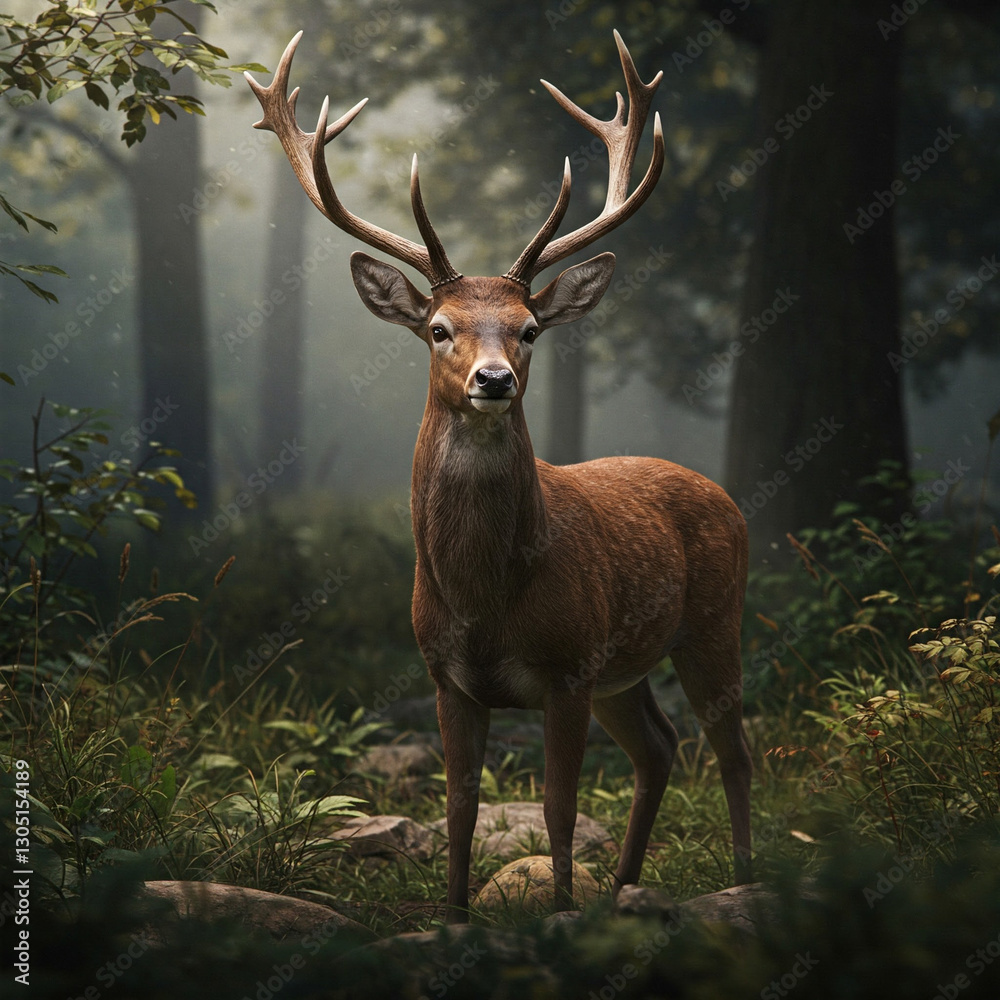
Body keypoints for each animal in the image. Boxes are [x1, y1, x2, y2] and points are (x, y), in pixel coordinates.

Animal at [246, 30, 752, 922]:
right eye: (439, 328)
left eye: (530, 329)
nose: (494, 379)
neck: (489, 598)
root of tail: (729, 501)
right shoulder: (447, 676)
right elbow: (459, 806)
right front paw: (453, 914)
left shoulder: (569, 665)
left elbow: (558, 804)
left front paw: (559, 912)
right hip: (626, 669)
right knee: (660, 748)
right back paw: (624, 886)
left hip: (712, 621)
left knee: (734, 749)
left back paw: (744, 877)